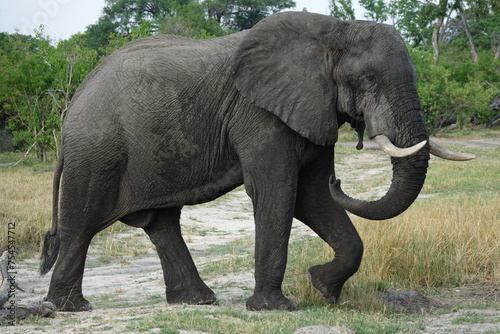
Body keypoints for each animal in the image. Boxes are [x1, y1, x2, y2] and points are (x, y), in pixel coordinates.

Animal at [39, 11, 472, 312]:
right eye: (369, 81)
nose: (342, 180)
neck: (332, 30)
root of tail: (73, 103)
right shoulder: (259, 113)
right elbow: (277, 191)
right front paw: (274, 308)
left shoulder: (310, 107)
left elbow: (312, 196)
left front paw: (321, 288)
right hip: (97, 150)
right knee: (81, 225)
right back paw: (69, 308)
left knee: (161, 223)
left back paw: (197, 301)